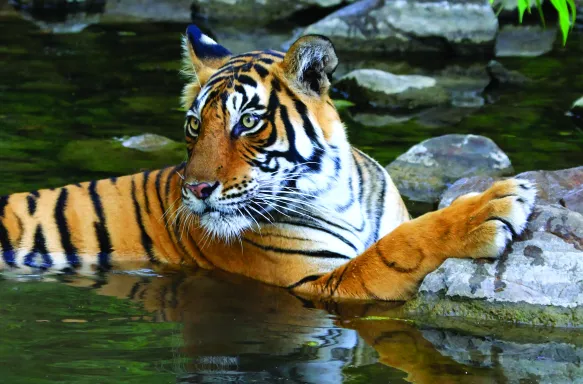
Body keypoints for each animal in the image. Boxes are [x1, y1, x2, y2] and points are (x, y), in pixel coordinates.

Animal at [0, 24, 540, 302]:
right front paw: (494, 207)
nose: (196, 190)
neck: (339, 192)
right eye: (194, 125)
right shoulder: (319, 283)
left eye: (247, 122)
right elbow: (399, 247)